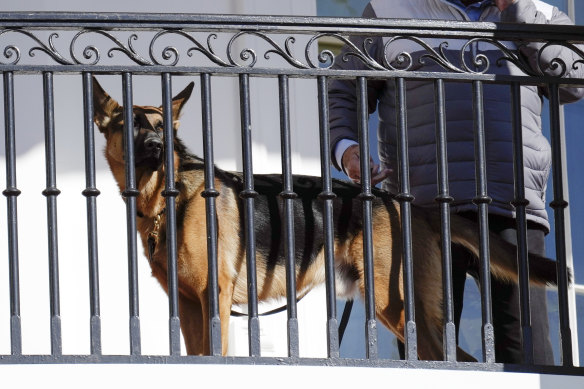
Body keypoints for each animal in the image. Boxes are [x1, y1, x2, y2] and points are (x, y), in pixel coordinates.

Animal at [93, 76, 560, 360]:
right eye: (128, 125)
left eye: (162, 129)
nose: (156, 147)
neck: (166, 198)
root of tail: (408, 204)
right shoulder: (190, 306)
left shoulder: (214, 299)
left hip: (395, 304)